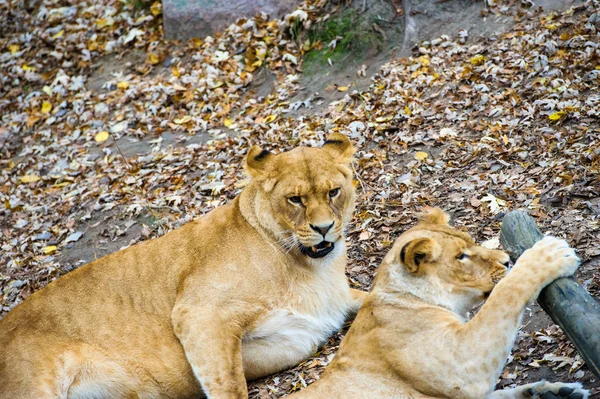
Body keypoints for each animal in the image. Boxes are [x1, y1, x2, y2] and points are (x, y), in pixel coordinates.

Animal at [0, 134, 366, 399]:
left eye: (333, 192)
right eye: (295, 199)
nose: (324, 228)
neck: (310, 266)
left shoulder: (317, 320)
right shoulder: (198, 313)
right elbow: (228, 385)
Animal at [288, 209, 588, 399]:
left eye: (471, 242)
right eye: (461, 256)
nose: (506, 260)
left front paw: (553, 392)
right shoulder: (461, 365)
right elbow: (505, 293)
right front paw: (547, 255)